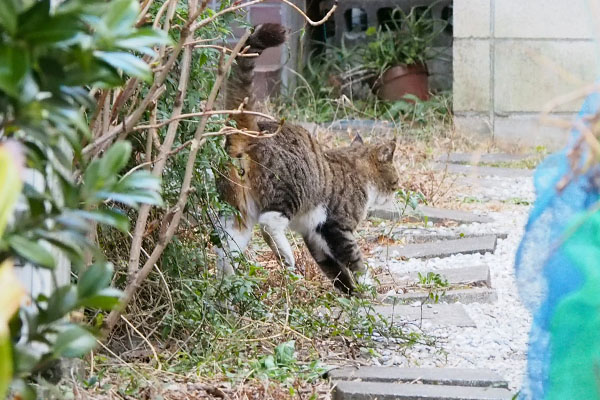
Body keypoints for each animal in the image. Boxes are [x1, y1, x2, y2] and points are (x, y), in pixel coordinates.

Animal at [216, 24, 398, 294]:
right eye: (396, 183)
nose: (395, 194)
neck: (357, 171)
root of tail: (252, 129)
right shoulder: (336, 226)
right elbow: (354, 259)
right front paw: (368, 287)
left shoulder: (314, 233)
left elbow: (333, 268)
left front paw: (350, 293)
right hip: (289, 190)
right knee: (268, 224)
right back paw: (286, 256)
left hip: (238, 212)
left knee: (227, 249)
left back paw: (227, 286)